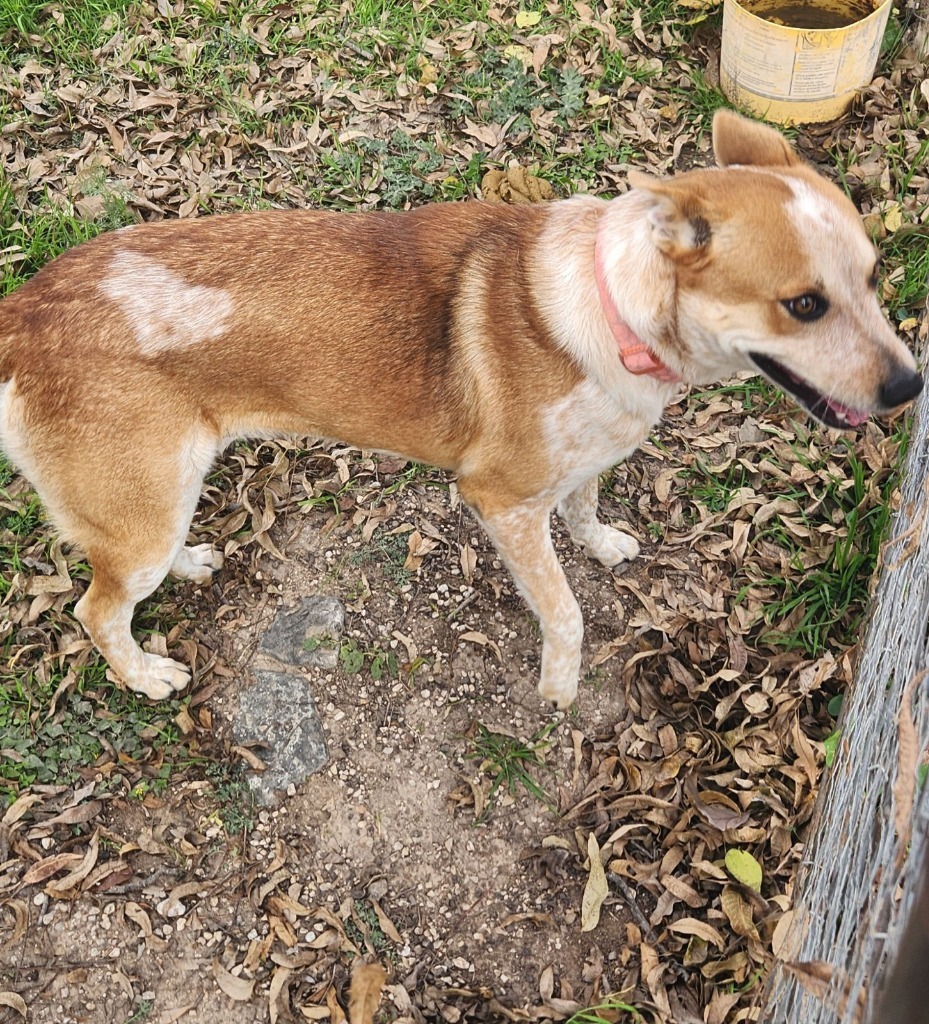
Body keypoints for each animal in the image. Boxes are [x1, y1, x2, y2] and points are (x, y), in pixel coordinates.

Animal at [0, 110, 921, 704]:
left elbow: (587, 504)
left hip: (160, 503)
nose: (909, 389)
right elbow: (567, 615)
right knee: (95, 609)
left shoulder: (580, 461)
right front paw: (557, 690)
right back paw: (146, 675)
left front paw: (604, 542)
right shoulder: (501, 503)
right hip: (140, 514)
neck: (614, 311)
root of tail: (26, 308)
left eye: (873, 275)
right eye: (803, 305)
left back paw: (190, 564)